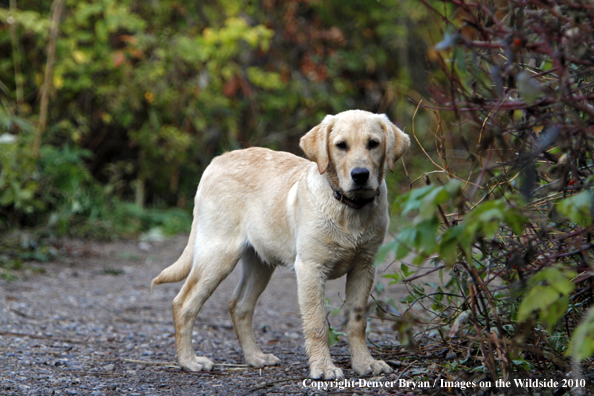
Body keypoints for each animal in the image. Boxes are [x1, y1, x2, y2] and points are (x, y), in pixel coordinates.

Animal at [150, 110, 410, 378]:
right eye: (341, 146)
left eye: (373, 144)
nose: (360, 175)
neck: (349, 207)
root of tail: (216, 161)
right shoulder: (310, 268)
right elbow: (317, 323)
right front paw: (323, 367)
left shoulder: (364, 267)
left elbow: (357, 321)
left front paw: (365, 363)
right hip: (218, 255)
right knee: (183, 304)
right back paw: (189, 361)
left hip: (260, 263)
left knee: (239, 306)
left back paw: (255, 357)